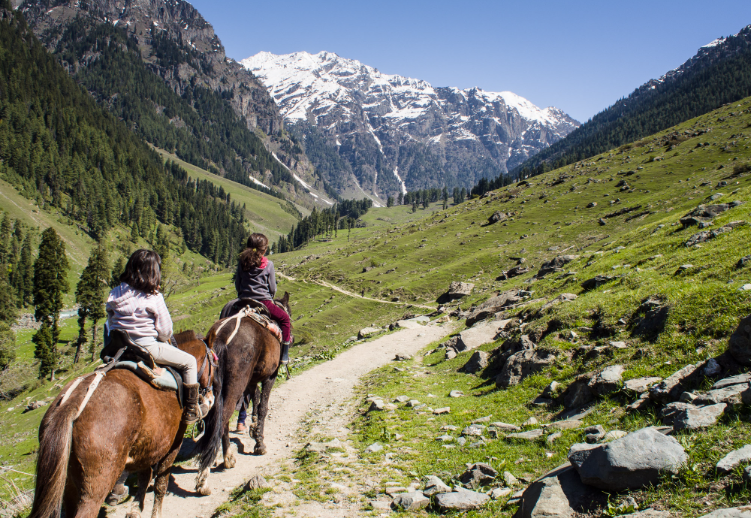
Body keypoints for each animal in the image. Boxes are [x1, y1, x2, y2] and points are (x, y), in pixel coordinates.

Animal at [29, 334, 217, 518]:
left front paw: (135, 510)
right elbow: (161, 483)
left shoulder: (148, 445)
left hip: (69, 484)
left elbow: (145, 476)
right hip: (96, 483)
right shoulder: (173, 443)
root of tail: (72, 403)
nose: (210, 397)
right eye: (213, 366)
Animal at [191, 294, 290, 498]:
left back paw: (227, 458)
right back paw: (204, 479)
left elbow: (255, 399)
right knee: (222, 419)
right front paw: (260, 443)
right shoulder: (270, 376)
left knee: (221, 420)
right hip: (236, 384)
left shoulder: (252, 380)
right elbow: (263, 407)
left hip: (220, 386)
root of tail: (221, 336)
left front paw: (253, 428)